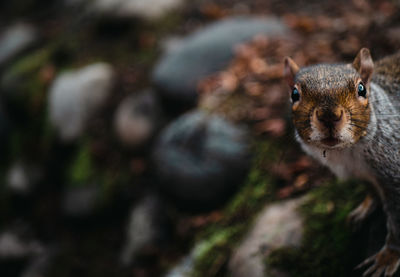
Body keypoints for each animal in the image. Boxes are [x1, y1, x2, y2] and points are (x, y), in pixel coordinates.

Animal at [282, 48, 400, 274]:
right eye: (294, 94)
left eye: (361, 89)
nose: (329, 116)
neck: (346, 153)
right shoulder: (358, 174)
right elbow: (371, 191)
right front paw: (364, 208)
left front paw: (388, 256)